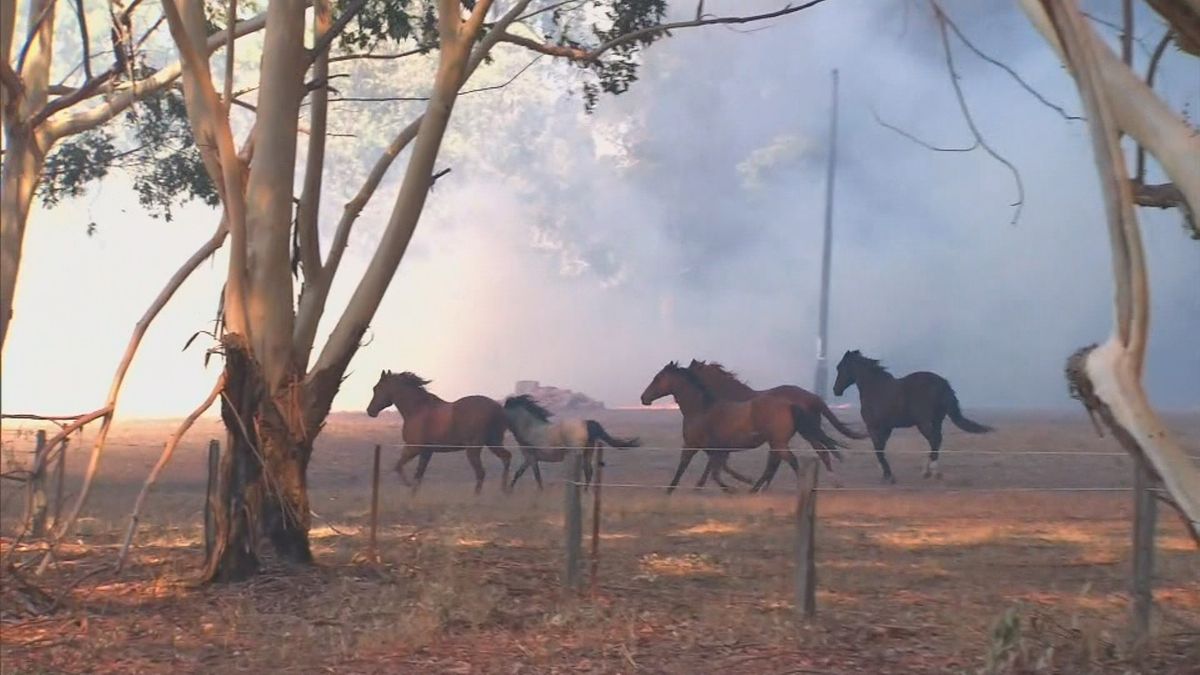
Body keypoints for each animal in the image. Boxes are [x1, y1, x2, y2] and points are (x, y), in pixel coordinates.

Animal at [364, 369, 516, 492]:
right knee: (506, 457)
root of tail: (498, 408)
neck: (417, 410)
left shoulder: (413, 448)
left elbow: (399, 467)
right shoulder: (426, 452)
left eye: (376, 388)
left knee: (481, 473)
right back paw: (504, 491)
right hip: (493, 442)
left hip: (474, 448)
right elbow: (418, 476)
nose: (370, 411)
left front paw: (407, 485)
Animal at [501, 393, 643, 487]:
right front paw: (509, 493)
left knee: (584, 472)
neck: (529, 428)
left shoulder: (531, 458)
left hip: (577, 453)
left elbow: (537, 477)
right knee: (588, 472)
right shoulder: (529, 459)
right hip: (587, 452)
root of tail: (586, 423)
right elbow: (519, 473)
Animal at [638, 360, 816, 492]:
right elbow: (716, 470)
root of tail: (790, 405)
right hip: (777, 443)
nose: (643, 398)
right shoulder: (715, 448)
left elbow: (686, 468)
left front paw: (669, 491)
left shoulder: (692, 445)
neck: (701, 409)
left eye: (657, 378)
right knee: (775, 464)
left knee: (790, 462)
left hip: (779, 443)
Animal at [686, 360, 864, 485]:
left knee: (819, 452)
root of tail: (813, 397)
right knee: (820, 451)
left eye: (690, 371)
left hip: (803, 432)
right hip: (802, 433)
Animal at [835, 348, 993, 480]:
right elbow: (881, 448)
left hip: (924, 423)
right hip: (937, 421)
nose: (836, 390)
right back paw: (928, 471)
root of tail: (943, 384)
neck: (874, 387)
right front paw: (885, 472)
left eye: (840, 367)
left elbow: (878, 449)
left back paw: (932, 471)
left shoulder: (874, 427)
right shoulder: (887, 428)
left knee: (934, 440)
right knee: (937, 440)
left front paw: (888, 475)